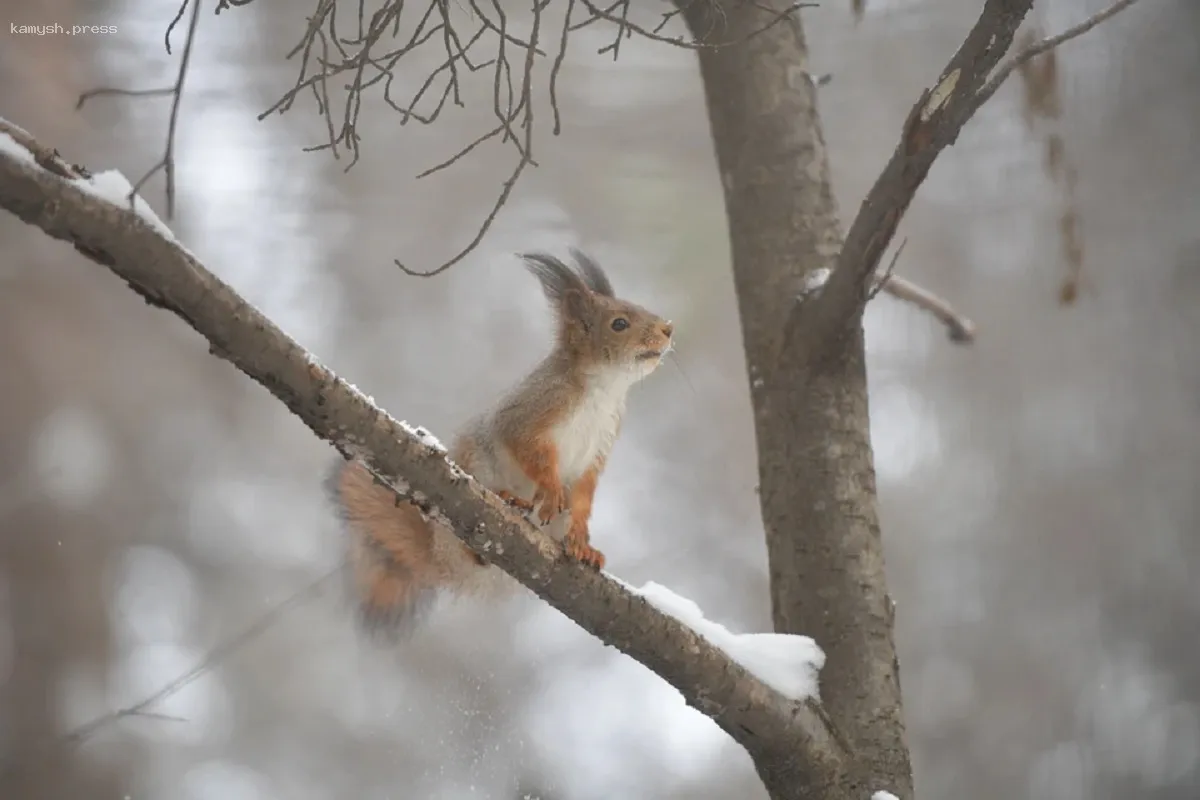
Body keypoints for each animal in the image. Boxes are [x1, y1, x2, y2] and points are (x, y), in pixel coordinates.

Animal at [324, 247, 672, 633]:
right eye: (619, 324)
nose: (668, 329)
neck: (604, 389)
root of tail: (440, 553)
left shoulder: (599, 448)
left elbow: (583, 494)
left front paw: (583, 539)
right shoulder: (528, 413)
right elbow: (528, 449)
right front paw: (551, 489)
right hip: (478, 469)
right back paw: (512, 502)